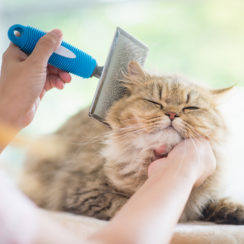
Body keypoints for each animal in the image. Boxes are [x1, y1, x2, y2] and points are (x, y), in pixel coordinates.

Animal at [20, 61, 244, 225]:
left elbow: (216, 202)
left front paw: (234, 212)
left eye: (191, 108)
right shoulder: (84, 192)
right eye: (155, 102)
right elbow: (124, 205)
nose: (172, 114)